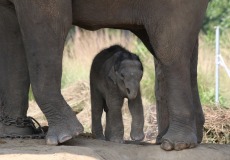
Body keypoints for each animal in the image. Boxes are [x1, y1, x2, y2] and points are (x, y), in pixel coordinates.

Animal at [0, 0, 208, 150]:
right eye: (122, 76)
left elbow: (48, 23)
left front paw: (65, 137)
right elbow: (11, 34)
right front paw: (16, 131)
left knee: (169, 52)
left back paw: (175, 144)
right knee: (185, 56)